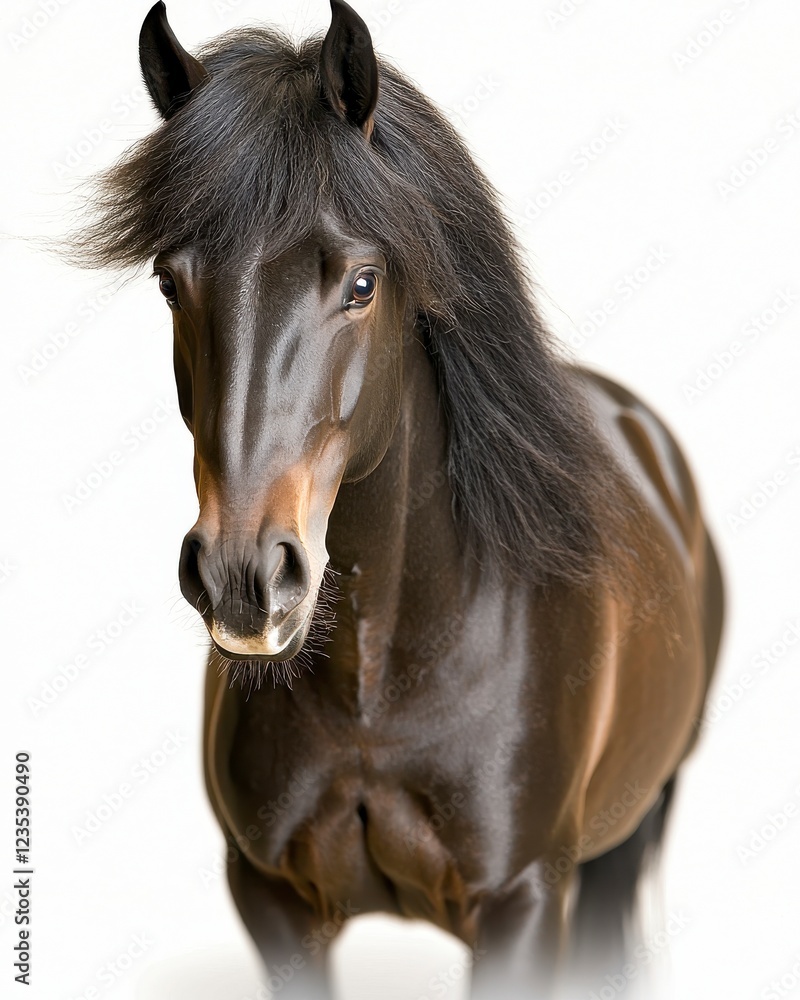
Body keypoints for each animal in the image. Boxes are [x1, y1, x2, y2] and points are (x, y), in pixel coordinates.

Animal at [78, 2, 724, 996]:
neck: (373, 690)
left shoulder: (523, 904)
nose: (242, 578)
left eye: (362, 283)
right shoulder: (272, 903)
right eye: (169, 281)